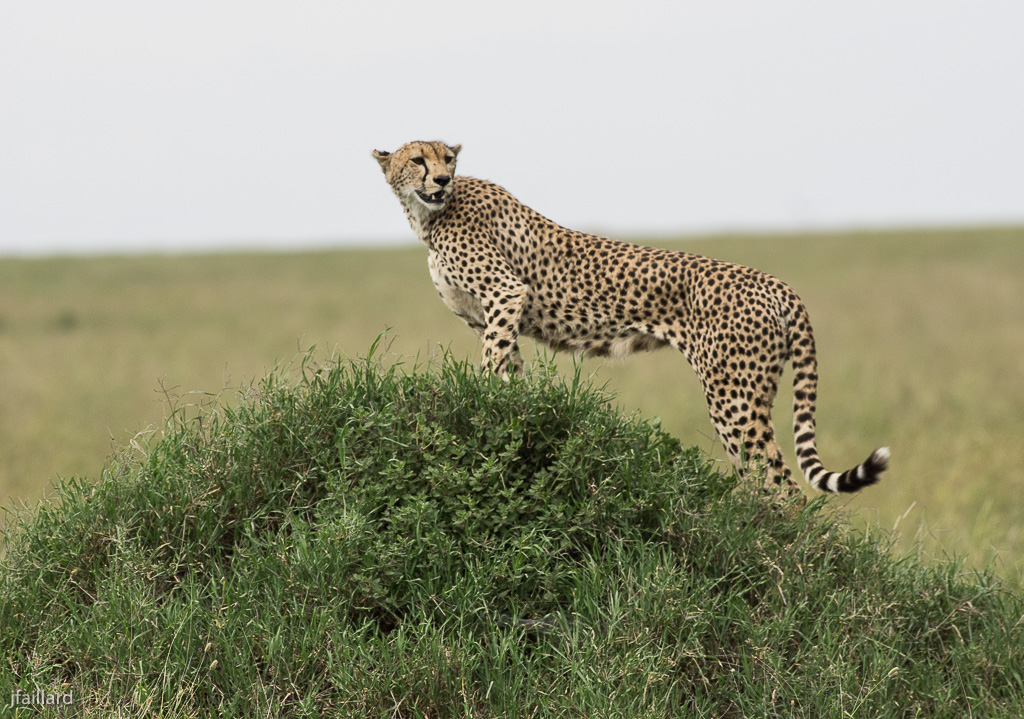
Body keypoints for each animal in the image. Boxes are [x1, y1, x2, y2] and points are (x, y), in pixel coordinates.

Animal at [374, 139, 888, 495]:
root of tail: (778, 284)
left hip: (732, 396)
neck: (429, 215)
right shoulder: (495, 317)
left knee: (781, 486)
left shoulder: (507, 293)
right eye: (418, 160)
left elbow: (488, 365)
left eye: (447, 159)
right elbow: (510, 371)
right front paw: (508, 413)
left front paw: (480, 409)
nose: (442, 180)